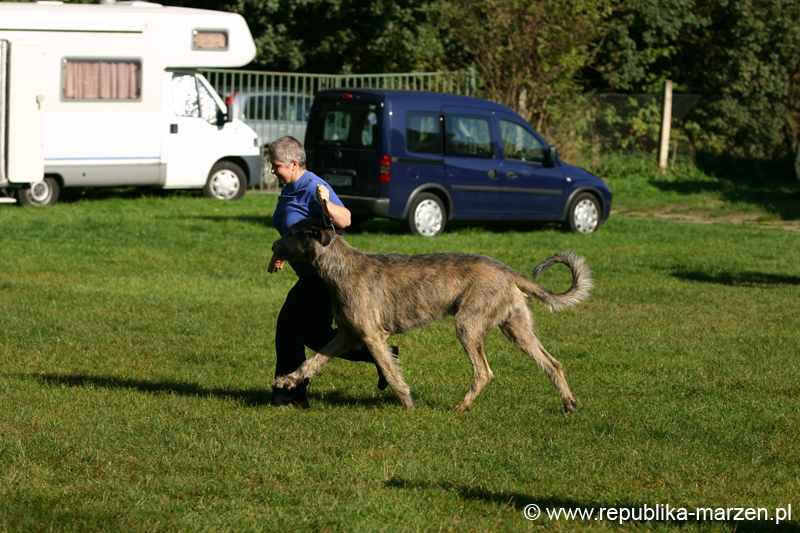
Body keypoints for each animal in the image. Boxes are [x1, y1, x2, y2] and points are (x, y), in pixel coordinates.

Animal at [272, 217, 592, 412]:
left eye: (290, 233)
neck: (341, 265)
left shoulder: (371, 335)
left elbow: (391, 371)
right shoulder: (348, 336)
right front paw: (287, 380)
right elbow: (313, 360)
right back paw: (569, 404)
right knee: (553, 364)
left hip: (468, 324)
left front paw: (408, 406)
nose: (273, 246)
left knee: (483, 371)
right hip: (518, 328)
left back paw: (461, 406)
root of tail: (509, 271)